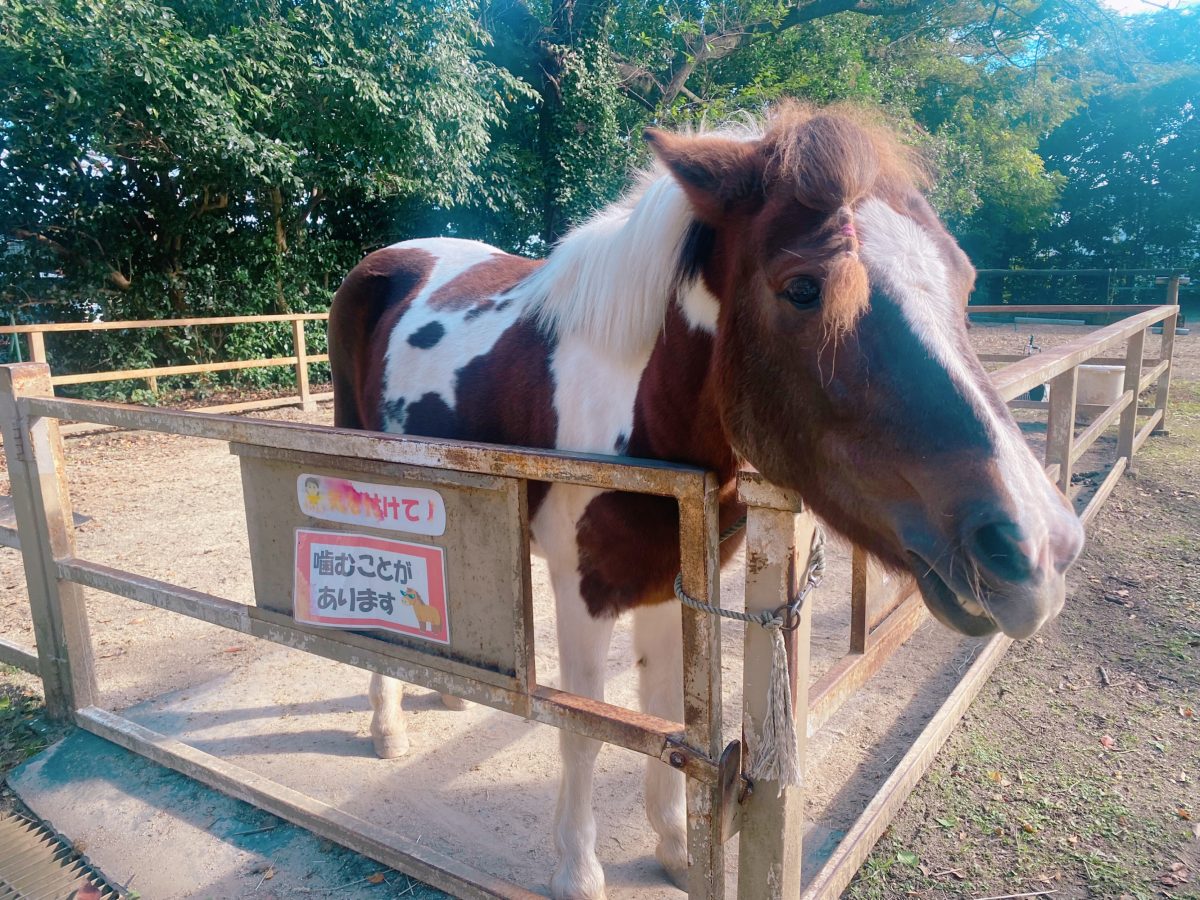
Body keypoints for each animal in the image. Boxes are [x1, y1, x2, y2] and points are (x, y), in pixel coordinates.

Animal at [331, 107, 1089, 900]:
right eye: (803, 288)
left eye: (964, 279)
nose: (1040, 546)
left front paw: (671, 846)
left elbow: (666, 714)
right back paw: (387, 727)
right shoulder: (583, 594)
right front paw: (578, 870)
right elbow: (582, 727)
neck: (644, 419)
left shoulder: (672, 587)